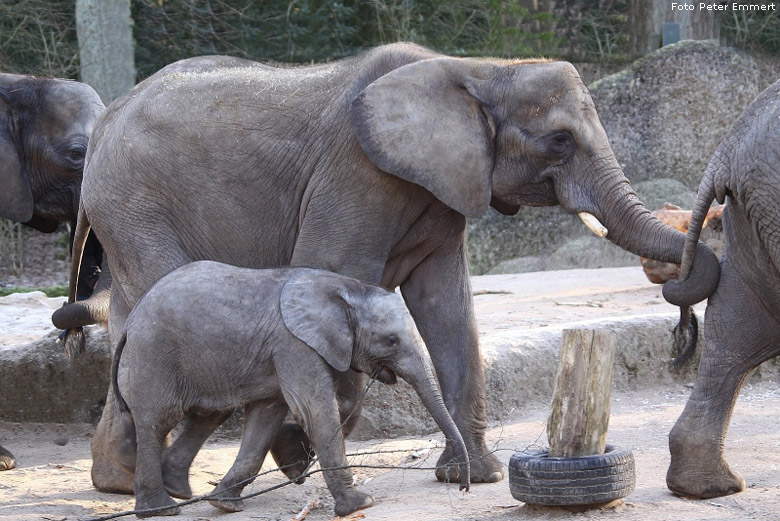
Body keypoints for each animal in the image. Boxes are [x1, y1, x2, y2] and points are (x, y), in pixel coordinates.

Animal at [112, 262, 466, 512]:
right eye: (391, 340)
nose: (463, 487)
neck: (346, 289)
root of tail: (129, 324)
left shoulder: (281, 350)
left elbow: (266, 416)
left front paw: (225, 505)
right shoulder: (293, 343)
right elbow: (314, 409)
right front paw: (359, 505)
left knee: (207, 415)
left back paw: (181, 491)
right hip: (154, 356)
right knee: (156, 422)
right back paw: (162, 509)